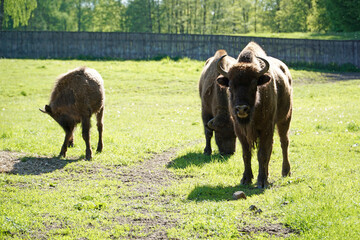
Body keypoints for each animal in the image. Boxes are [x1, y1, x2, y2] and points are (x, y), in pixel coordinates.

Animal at [217, 41, 292, 188]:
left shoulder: (266, 128)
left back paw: (286, 172)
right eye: (231, 86)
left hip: (285, 119)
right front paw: (246, 179)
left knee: (284, 142)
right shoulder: (240, 130)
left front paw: (262, 181)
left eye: (253, 84)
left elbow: (262, 154)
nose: (241, 109)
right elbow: (247, 154)